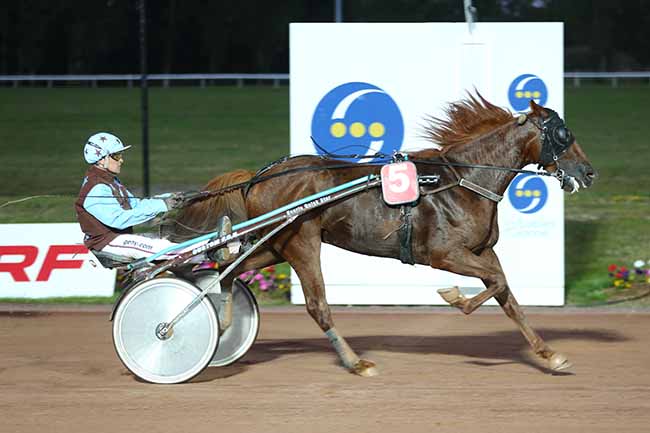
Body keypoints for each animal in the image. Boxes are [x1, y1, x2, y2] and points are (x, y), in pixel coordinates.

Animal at [168, 94, 597, 376]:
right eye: (563, 133)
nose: (589, 172)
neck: (464, 181)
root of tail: (259, 176)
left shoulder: (482, 252)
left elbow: (507, 294)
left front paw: (550, 355)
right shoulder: (444, 254)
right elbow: (492, 284)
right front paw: (455, 297)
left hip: (275, 244)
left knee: (226, 268)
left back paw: (223, 322)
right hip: (301, 242)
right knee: (316, 305)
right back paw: (355, 362)